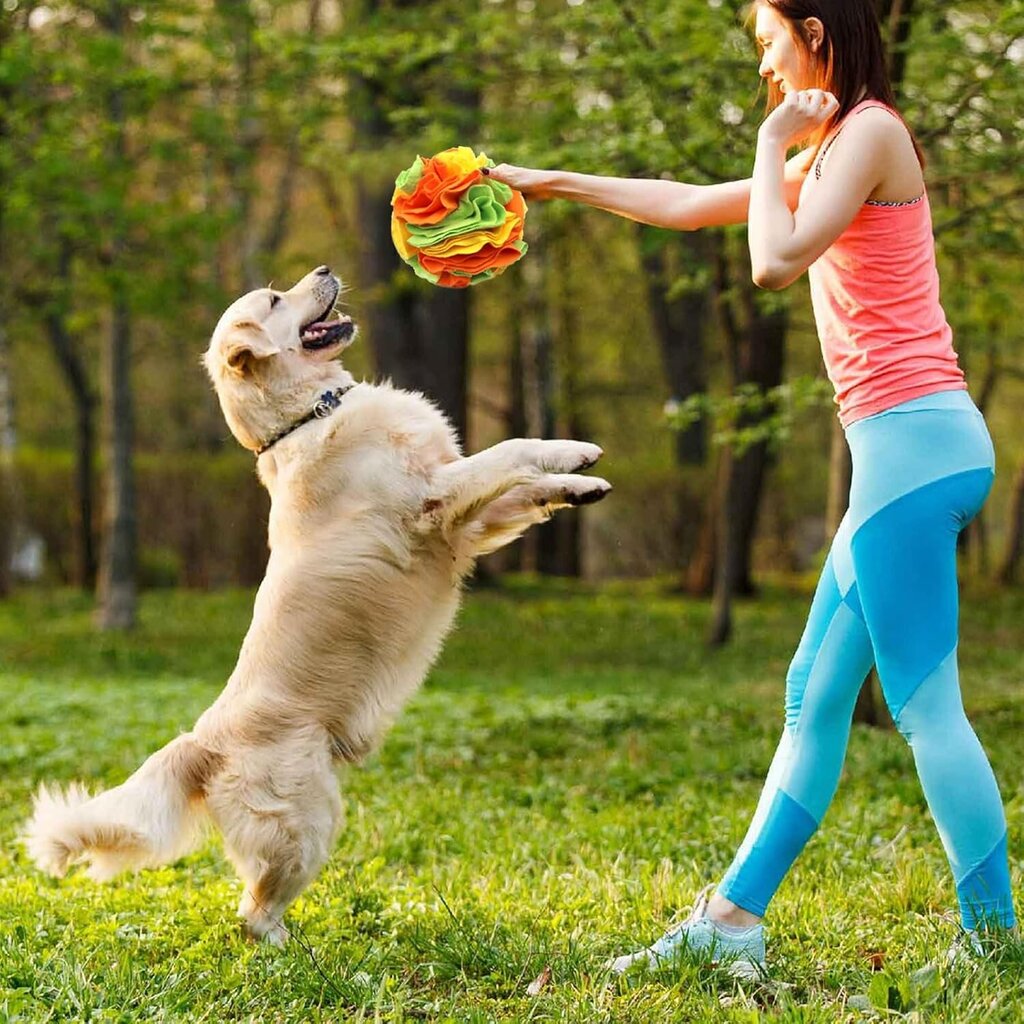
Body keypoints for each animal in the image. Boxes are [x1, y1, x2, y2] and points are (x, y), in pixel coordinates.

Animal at [24, 264, 610, 942]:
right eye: (277, 300)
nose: (326, 270)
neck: (308, 414)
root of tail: (203, 743)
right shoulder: (432, 501)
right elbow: (509, 450)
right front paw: (570, 453)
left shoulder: (463, 526)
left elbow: (525, 487)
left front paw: (581, 481)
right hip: (305, 821)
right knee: (253, 913)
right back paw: (294, 951)